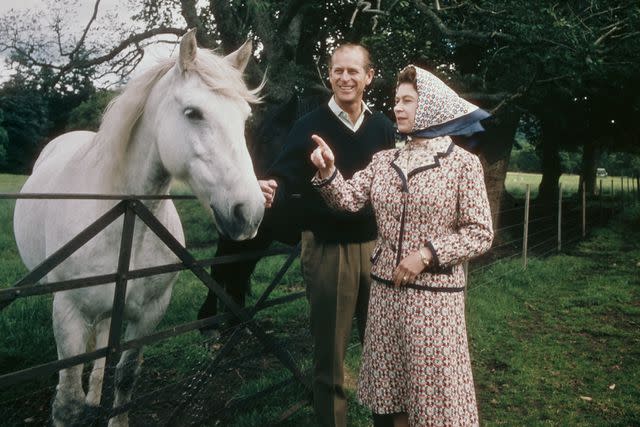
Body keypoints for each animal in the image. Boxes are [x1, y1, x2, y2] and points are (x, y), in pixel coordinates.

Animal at [13, 30, 262, 427]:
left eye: (244, 117)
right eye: (193, 113)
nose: (249, 213)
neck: (125, 221)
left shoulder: (150, 314)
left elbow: (126, 378)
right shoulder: (69, 312)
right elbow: (66, 402)